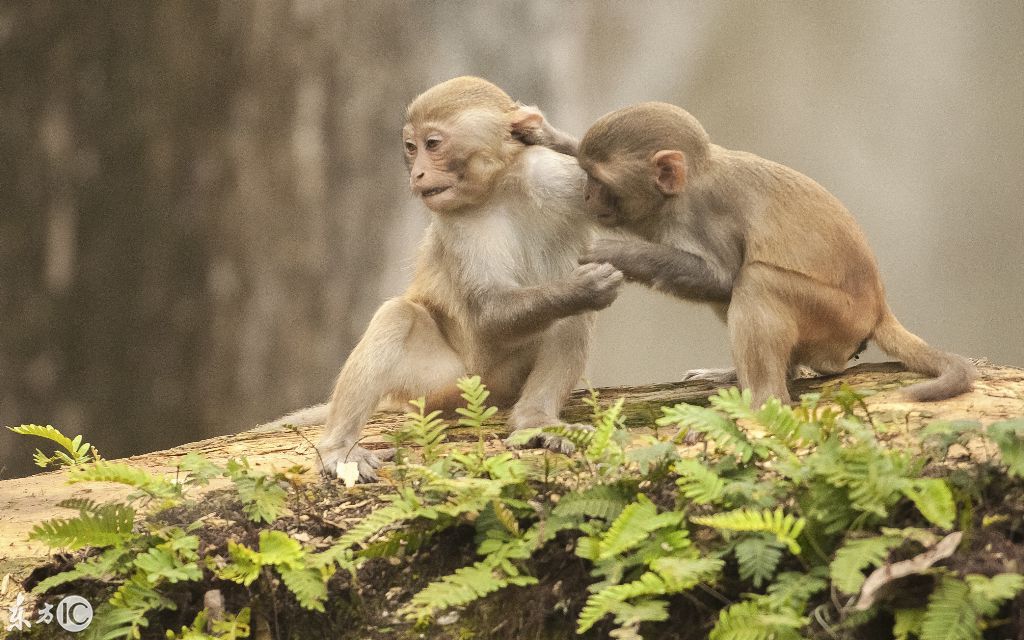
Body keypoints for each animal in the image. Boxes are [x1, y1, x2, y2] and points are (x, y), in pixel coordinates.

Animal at [270, 77, 622, 479]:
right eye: (411, 148)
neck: (501, 186)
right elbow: (488, 314)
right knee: (398, 316)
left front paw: (544, 132)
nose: (417, 173)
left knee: (570, 319)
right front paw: (582, 287)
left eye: (433, 145)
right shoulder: (457, 223)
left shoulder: (555, 176)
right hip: (441, 388)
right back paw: (338, 449)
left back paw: (534, 420)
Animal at [561, 102, 974, 407]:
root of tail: (877, 309)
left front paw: (614, 252)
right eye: (586, 173)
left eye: (599, 181)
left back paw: (764, 402)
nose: (586, 195)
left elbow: (722, 277)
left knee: (756, 280)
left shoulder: (706, 213)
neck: (691, 181)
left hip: (835, 319)